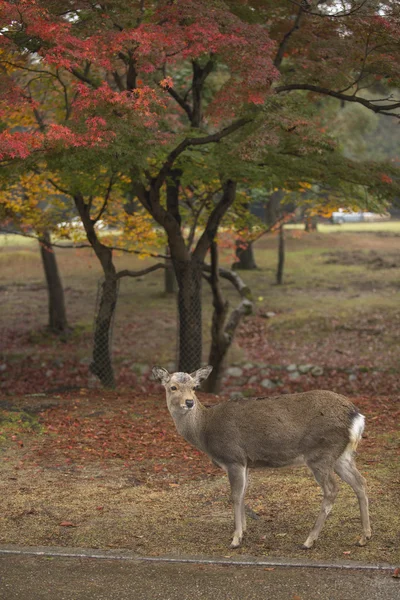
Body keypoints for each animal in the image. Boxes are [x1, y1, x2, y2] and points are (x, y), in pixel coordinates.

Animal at [152, 366, 372, 548]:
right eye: (173, 387)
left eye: (194, 387)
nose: (189, 402)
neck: (204, 431)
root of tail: (356, 416)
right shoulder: (246, 463)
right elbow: (243, 494)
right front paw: (244, 530)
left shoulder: (233, 457)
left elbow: (234, 496)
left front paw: (236, 539)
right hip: (342, 455)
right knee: (360, 482)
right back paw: (364, 537)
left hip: (321, 454)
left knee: (332, 489)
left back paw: (309, 540)